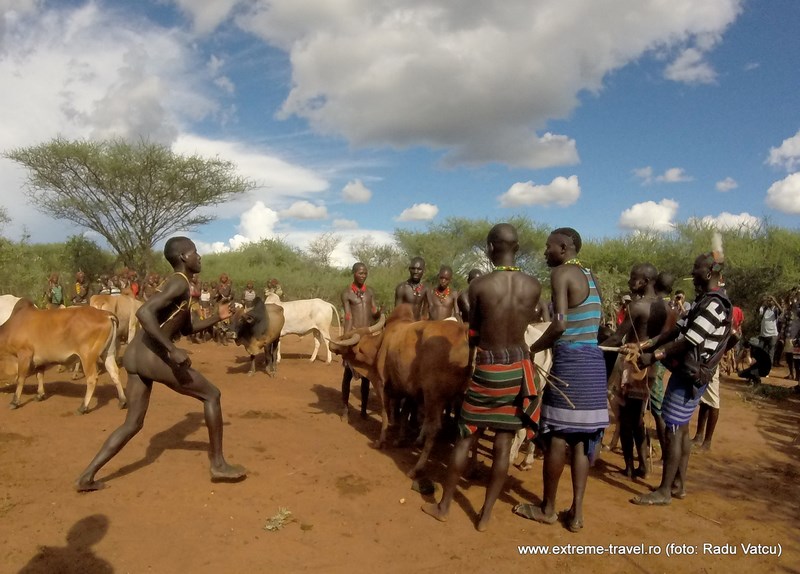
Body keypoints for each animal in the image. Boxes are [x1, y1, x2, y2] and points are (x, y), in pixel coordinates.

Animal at [329, 304, 471, 478]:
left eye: (344, 339)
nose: (332, 344)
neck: (380, 345)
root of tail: (462, 332)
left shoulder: (382, 384)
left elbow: (385, 413)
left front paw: (381, 441)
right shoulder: (409, 390)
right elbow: (404, 414)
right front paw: (400, 440)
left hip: (434, 396)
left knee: (434, 428)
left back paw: (417, 468)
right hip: (460, 396)